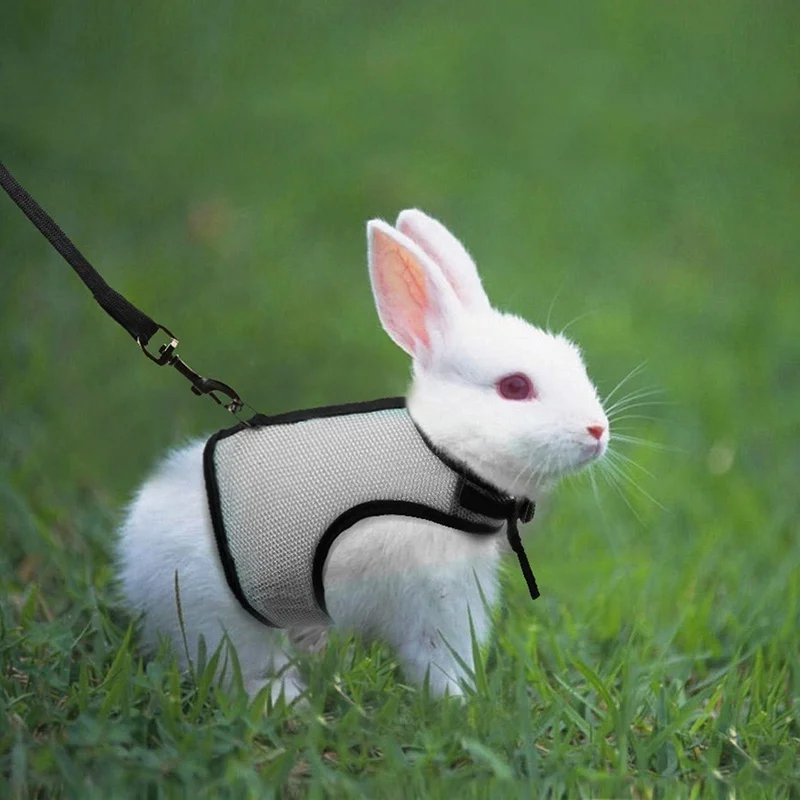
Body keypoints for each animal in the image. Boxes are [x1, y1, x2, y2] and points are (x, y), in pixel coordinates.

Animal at [117, 209, 609, 704]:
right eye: (515, 387)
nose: (598, 431)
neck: (443, 458)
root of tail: (134, 551)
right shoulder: (435, 598)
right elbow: (436, 659)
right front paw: (456, 702)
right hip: (223, 616)